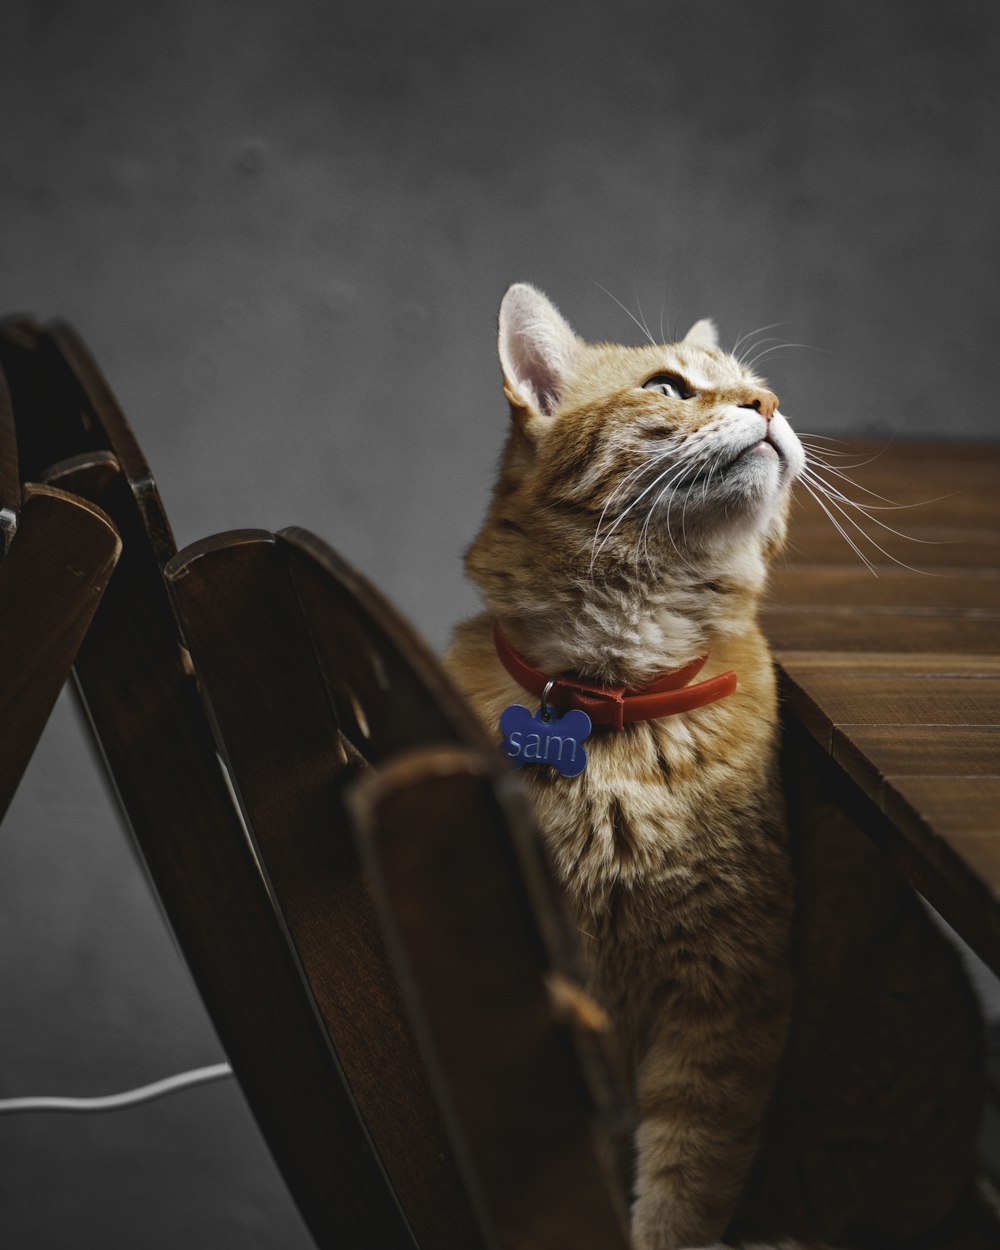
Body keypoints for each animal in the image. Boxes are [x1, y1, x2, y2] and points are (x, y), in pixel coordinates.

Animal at [442, 286, 985, 1250]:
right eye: (669, 386)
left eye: (757, 384)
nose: (768, 406)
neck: (612, 702)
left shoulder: (728, 994)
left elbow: (681, 1190)